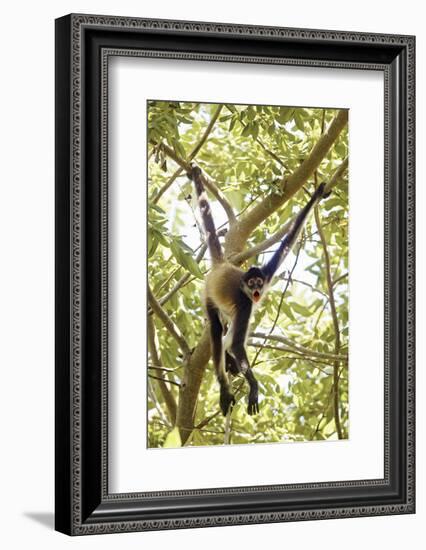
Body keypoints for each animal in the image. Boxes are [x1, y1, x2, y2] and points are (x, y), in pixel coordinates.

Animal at [189, 164, 330, 418]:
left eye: (259, 282)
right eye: (251, 283)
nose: (256, 289)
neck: (246, 290)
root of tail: (222, 266)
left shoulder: (267, 272)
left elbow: (287, 242)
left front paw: (316, 193)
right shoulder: (245, 303)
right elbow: (237, 344)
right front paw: (253, 387)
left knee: (225, 332)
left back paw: (229, 361)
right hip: (208, 295)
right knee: (217, 329)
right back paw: (224, 384)